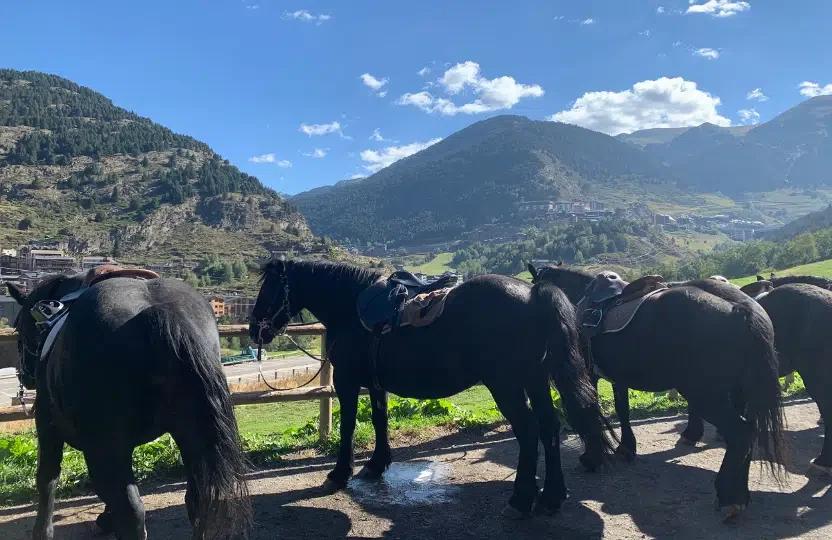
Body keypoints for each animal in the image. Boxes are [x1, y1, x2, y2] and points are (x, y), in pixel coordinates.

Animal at [6, 274, 250, 540]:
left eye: (20, 325)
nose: (23, 375)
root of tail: (158, 311)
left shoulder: (49, 427)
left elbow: (47, 478)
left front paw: (43, 531)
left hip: (105, 447)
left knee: (131, 511)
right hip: (192, 436)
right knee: (198, 500)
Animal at [249, 259, 616, 518]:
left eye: (269, 289)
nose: (255, 331)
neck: (351, 308)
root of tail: (532, 294)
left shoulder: (347, 381)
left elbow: (349, 426)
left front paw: (339, 475)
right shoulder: (375, 385)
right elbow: (380, 421)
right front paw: (376, 465)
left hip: (507, 385)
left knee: (529, 431)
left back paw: (521, 500)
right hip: (536, 381)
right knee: (550, 426)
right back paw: (552, 496)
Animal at [528, 263, 787, 520]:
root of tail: (741, 308)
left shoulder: (589, 375)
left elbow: (589, 413)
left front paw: (592, 458)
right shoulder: (618, 378)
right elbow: (622, 410)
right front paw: (626, 448)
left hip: (705, 395)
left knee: (740, 434)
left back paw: (729, 497)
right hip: (738, 394)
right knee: (749, 432)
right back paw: (739, 493)